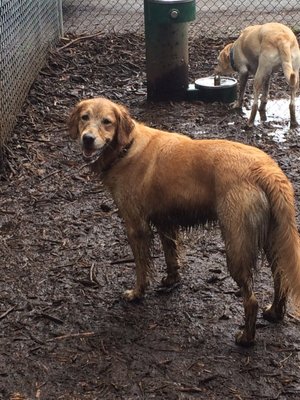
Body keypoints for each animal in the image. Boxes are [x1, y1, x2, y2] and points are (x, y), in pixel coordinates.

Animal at [69, 97, 300, 346]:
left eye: (107, 122)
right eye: (84, 117)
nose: (87, 138)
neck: (126, 148)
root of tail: (265, 170)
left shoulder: (136, 226)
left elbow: (141, 267)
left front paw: (137, 293)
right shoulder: (165, 222)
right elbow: (171, 256)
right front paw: (171, 280)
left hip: (237, 245)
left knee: (251, 299)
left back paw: (246, 337)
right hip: (273, 238)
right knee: (280, 278)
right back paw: (274, 313)